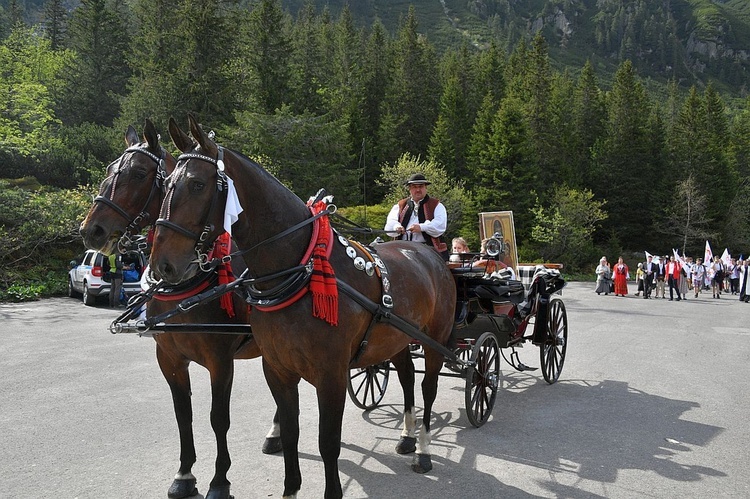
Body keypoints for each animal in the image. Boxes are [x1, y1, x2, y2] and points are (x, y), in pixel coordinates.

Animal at [79, 121, 280, 499]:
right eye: (111, 170)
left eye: (138, 173)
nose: (91, 230)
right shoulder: (169, 358)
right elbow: (182, 414)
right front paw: (185, 474)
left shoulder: (221, 360)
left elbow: (218, 418)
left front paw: (220, 480)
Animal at [151, 115, 458, 499]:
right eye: (165, 185)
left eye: (196, 184)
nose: (162, 265)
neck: (300, 268)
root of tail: (426, 251)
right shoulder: (277, 369)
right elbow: (292, 434)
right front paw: (290, 486)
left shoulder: (330, 374)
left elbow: (328, 442)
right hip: (398, 339)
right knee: (405, 376)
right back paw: (406, 436)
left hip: (435, 340)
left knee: (428, 387)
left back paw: (424, 450)